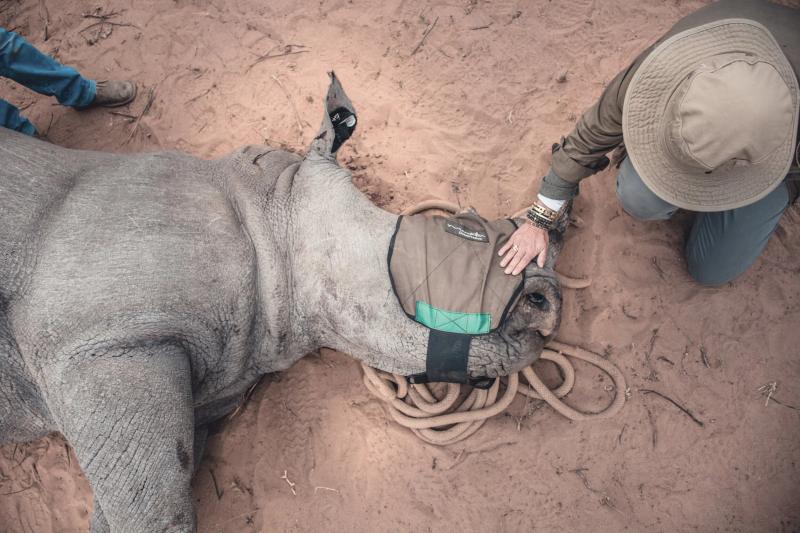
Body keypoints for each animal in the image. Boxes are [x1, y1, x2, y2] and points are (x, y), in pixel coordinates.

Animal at [0, 75, 563, 532]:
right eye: (459, 232)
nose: (548, 301)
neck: (272, 217)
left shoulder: (206, 387)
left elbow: (143, 499)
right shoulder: (100, 341)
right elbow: (158, 510)